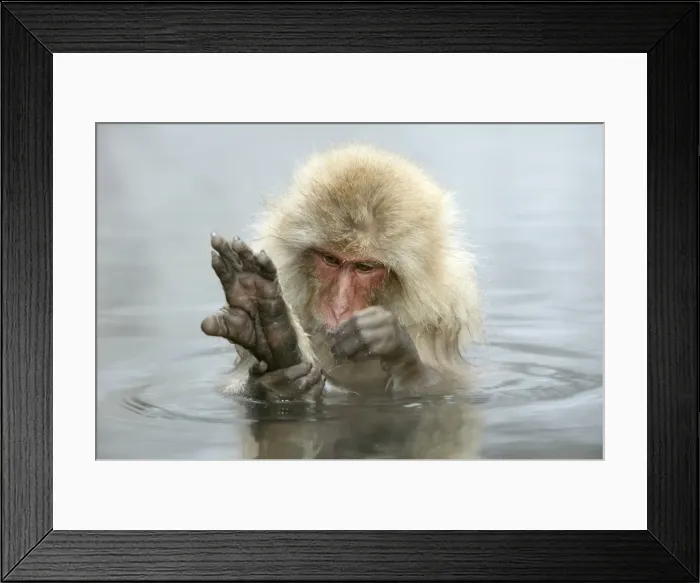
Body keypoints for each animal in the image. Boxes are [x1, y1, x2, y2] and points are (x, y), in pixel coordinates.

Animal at [201, 143, 484, 459]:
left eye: (364, 267)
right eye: (331, 260)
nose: (338, 306)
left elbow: (447, 390)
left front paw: (393, 343)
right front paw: (280, 379)